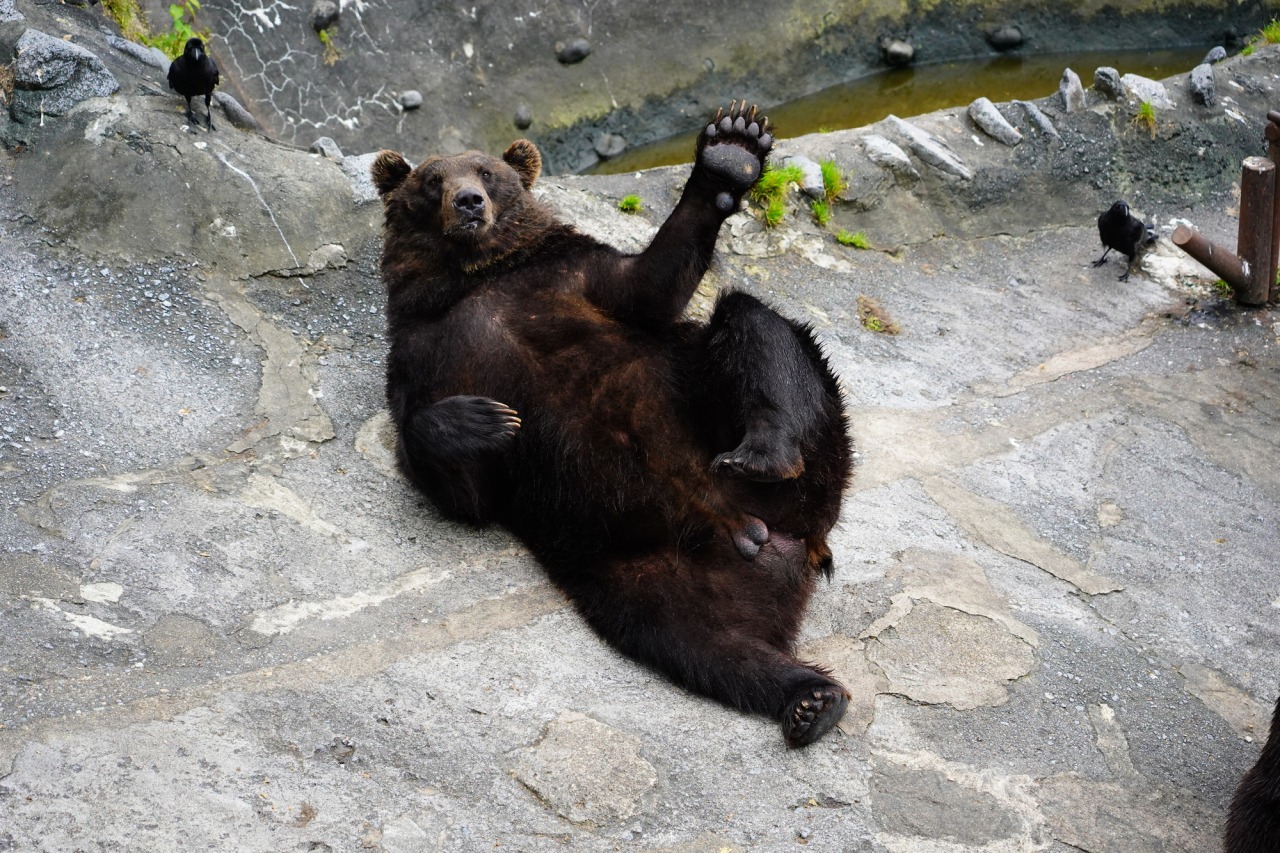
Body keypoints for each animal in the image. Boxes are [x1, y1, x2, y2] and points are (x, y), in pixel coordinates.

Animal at [371, 101, 849, 742]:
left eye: (488, 172)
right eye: (431, 181)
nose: (469, 202)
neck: (473, 277)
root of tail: (776, 539)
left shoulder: (572, 277)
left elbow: (646, 286)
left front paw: (732, 149)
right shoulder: (422, 352)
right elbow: (459, 485)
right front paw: (482, 419)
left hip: (797, 445)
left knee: (755, 327)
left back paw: (764, 452)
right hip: (633, 569)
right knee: (695, 643)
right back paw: (808, 698)